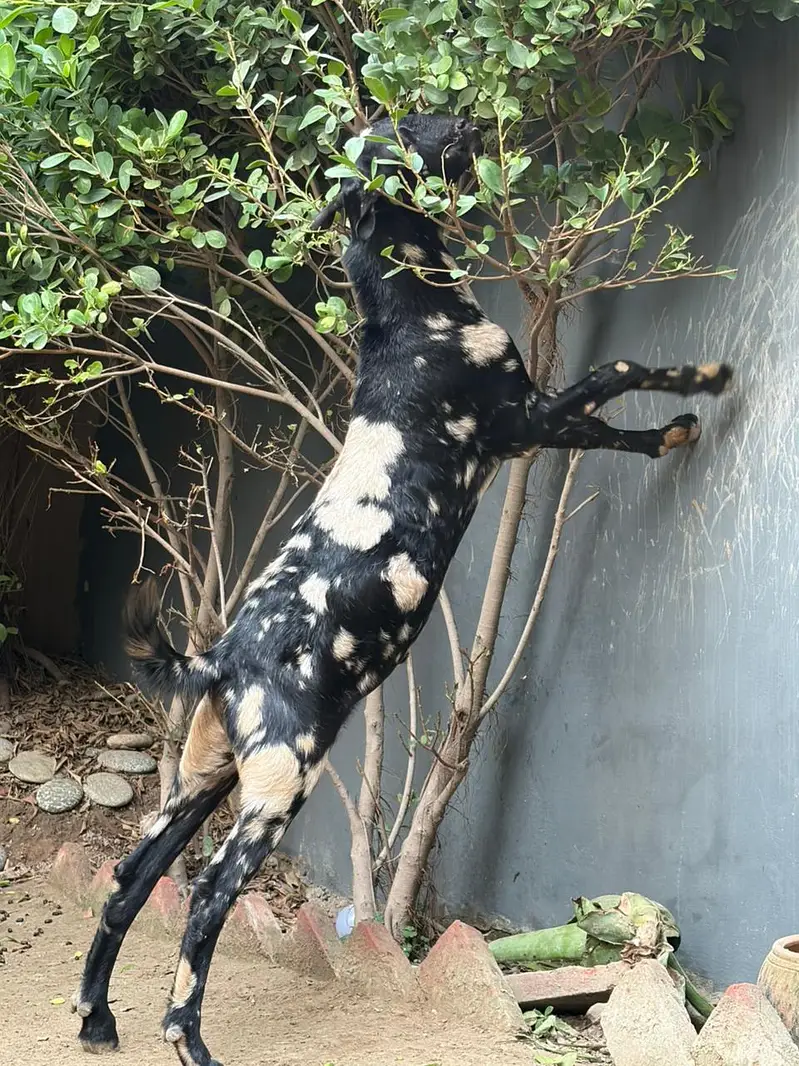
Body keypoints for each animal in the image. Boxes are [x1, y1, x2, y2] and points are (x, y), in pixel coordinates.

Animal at [74, 113, 732, 1066]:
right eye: (409, 132)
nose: (469, 123)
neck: (409, 316)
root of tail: (221, 658)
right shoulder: (522, 420)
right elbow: (617, 369)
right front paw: (704, 381)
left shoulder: (532, 425)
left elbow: (612, 429)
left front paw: (672, 433)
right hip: (277, 788)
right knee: (204, 901)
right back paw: (185, 1038)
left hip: (202, 782)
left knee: (129, 884)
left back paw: (96, 1016)